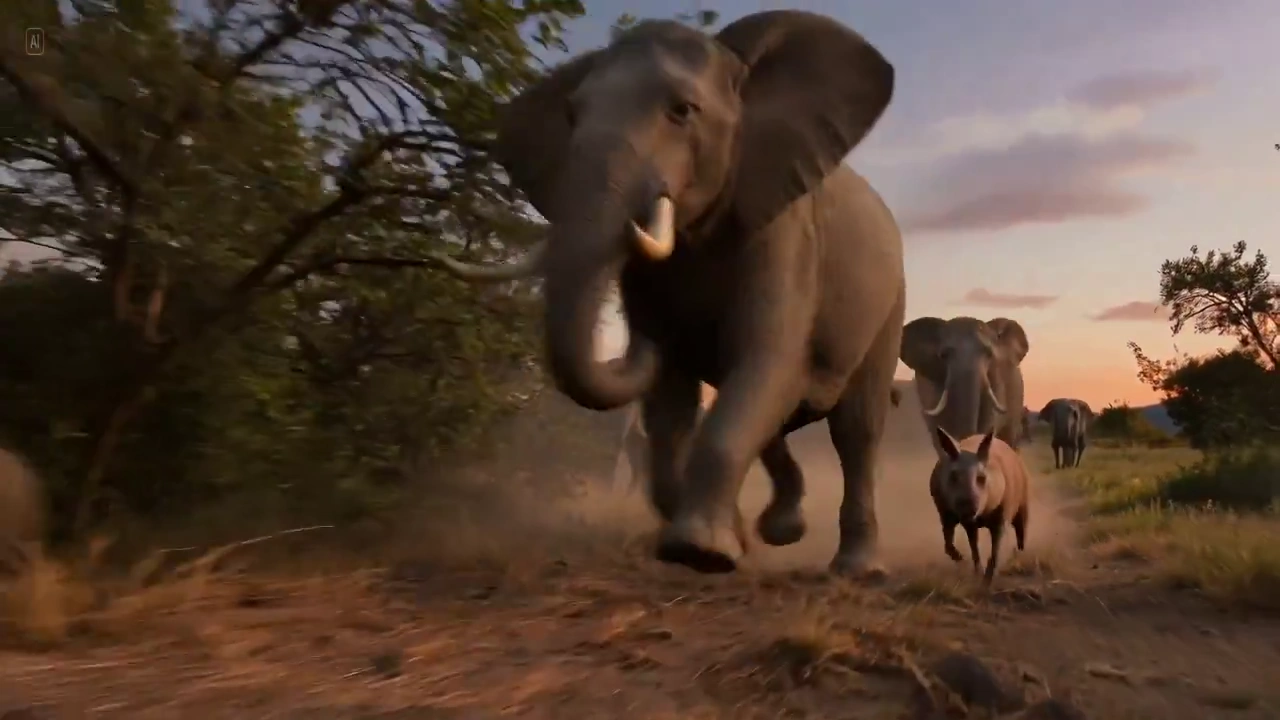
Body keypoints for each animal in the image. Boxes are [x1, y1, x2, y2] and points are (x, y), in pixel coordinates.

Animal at [436, 11, 902, 576]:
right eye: (571, 115)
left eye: (682, 111)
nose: (640, 332)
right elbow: (672, 406)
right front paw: (717, 545)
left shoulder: (786, 237)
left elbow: (766, 360)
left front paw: (702, 552)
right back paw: (780, 531)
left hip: (889, 303)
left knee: (856, 429)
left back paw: (856, 570)